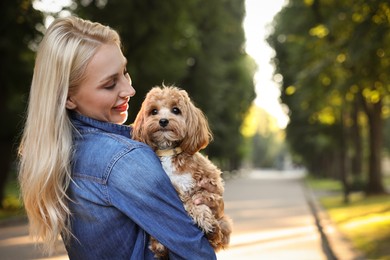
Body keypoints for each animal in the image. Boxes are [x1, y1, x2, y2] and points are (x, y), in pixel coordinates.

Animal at [134, 86, 232, 258]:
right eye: (154, 111)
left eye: (176, 110)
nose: (163, 121)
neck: (169, 151)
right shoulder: (173, 189)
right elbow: (186, 201)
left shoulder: (210, 180)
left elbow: (198, 197)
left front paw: (205, 218)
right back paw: (158, 244)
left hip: (225, 223)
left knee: (219, 236)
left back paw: (213, 232)